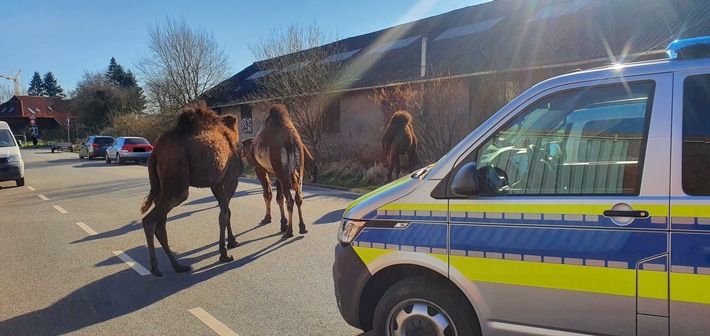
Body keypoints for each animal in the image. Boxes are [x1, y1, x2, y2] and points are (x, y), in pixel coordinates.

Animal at [139, 101, 245, 276]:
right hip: (177, 185)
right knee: (150, 220)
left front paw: (232, 242)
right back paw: (155, 268)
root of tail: (155, 153)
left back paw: (178, 266)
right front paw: (224, 254)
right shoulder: (230, 178)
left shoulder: (216, 183)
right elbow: (223, 215)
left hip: (163, 188)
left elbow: (227, 211)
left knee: (160, 225)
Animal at [252, 105, 312, 239]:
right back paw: (302, 228)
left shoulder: (260, 169)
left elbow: (267, 194)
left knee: (290, 200)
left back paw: (289, 232)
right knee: (298, 198)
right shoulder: (276, 174)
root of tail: (291, 142)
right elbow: (279, 197)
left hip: (282, 172)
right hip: (299, 169)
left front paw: (267, 218)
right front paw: (282, 223)